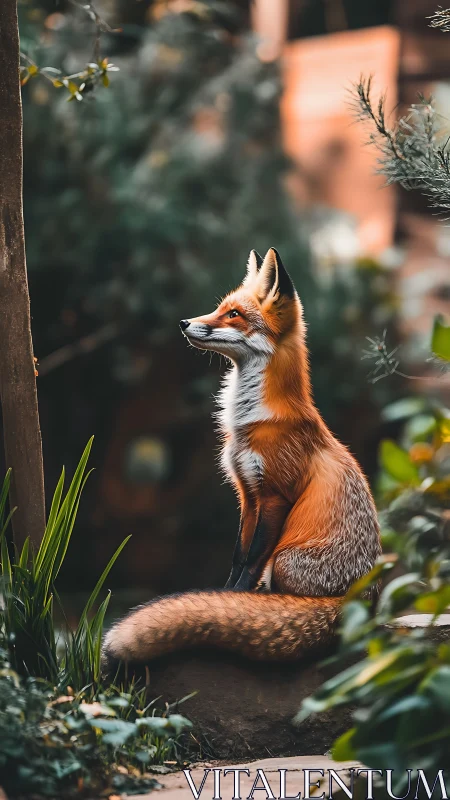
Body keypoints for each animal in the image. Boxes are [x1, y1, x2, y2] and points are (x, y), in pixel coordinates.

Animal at [102, 247, 380, 667]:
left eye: (233, 314)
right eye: (220, 308)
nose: (184, 322)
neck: (249, 420)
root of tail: (363, 602)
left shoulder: (275, 495)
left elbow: (252, 560)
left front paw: (235, 600)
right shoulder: (247, 492)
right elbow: (238, 555)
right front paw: (226, 595)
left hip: (285, 560)